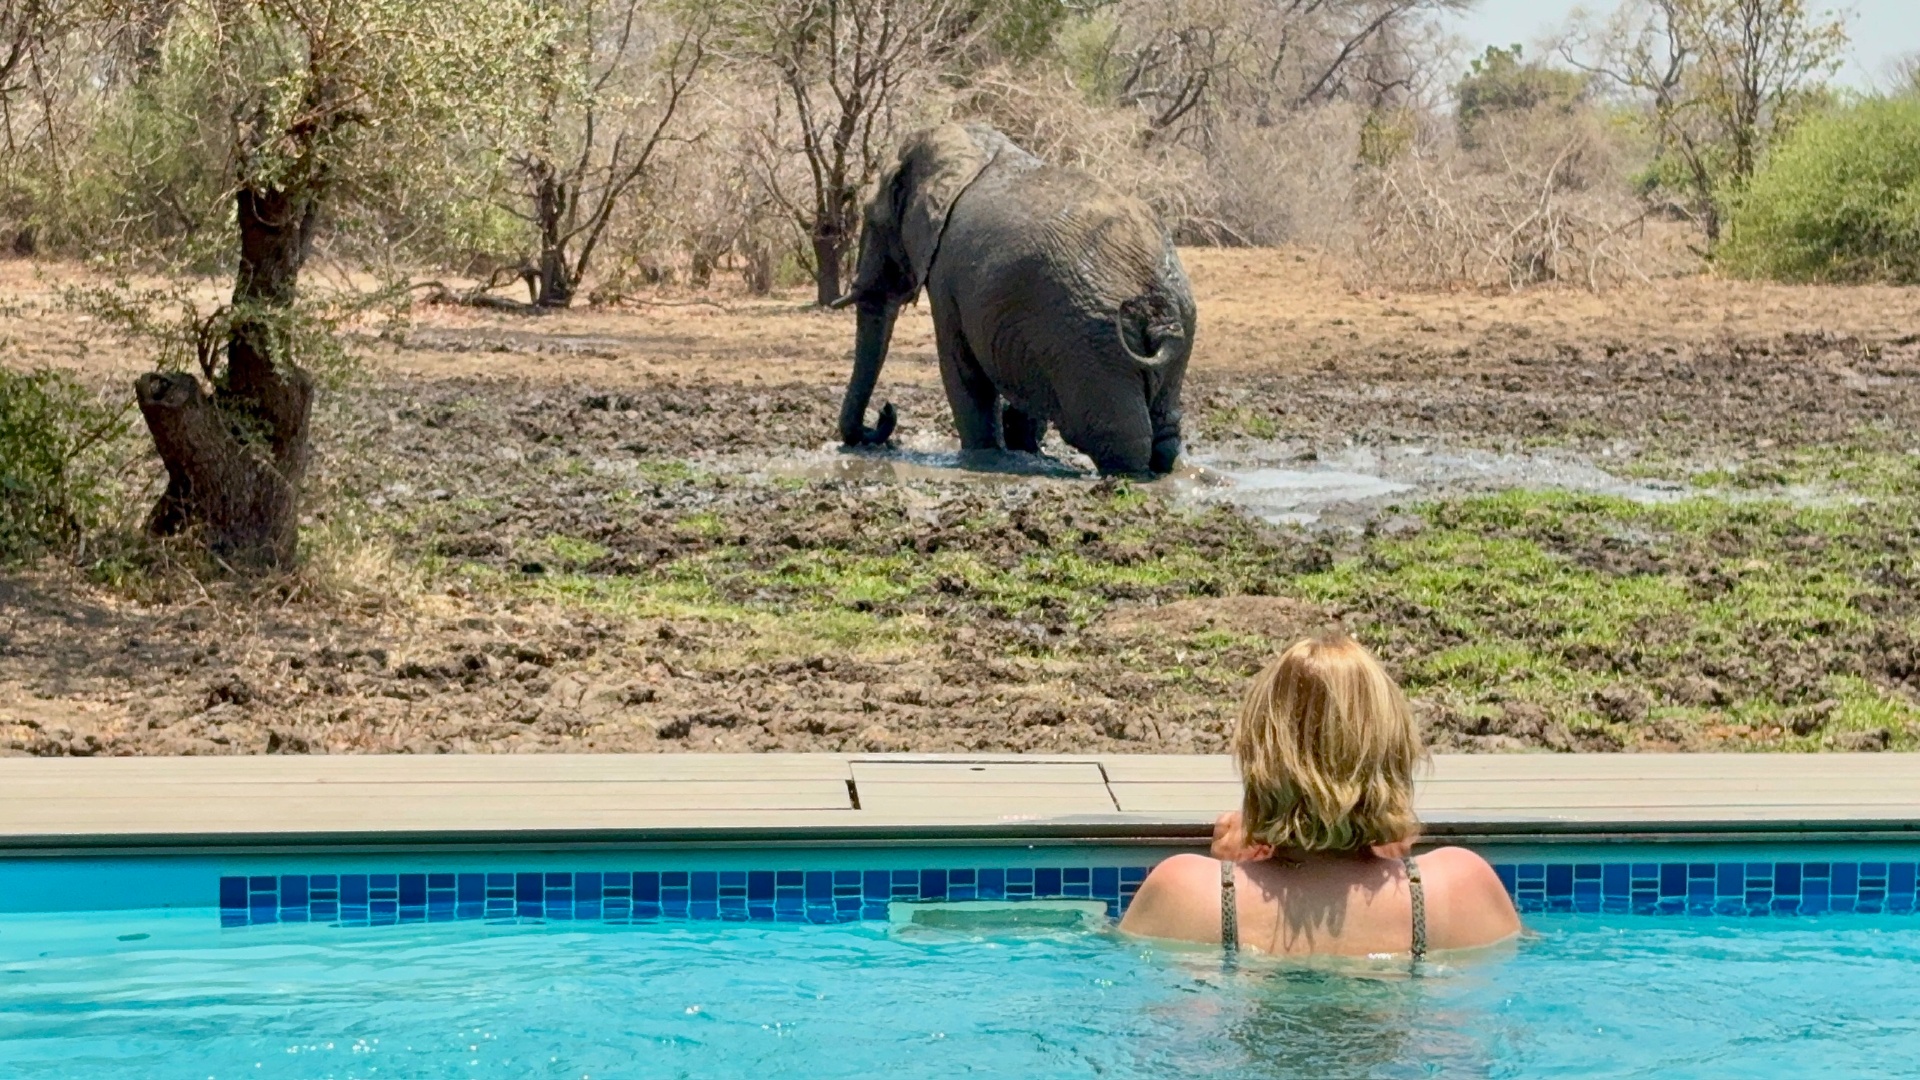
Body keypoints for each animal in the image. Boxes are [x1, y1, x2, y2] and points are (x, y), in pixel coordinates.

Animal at [831, 123, 1196, 477]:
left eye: (872, 218)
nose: (885, 412)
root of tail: (1162, 314)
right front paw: (1021, 449)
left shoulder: (946, 271)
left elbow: (961, 364)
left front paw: (983, 457)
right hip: (1169, 334)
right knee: (1163, 439)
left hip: (1095, 347)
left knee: (1120, 440)